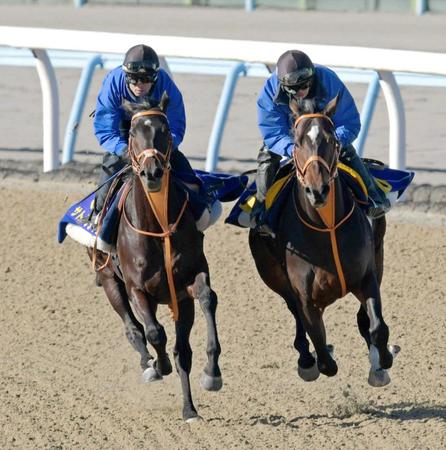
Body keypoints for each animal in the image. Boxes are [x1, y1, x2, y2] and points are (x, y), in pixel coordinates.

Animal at [90, 93, 221, 424]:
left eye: (164, 130)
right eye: (133, 133)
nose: (152, 172)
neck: (157, 224)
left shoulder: (189, 280)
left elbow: (207, 298)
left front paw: (212, 372)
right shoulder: (137, 288)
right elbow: (154, 332)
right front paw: (159, 365)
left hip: (179, 301)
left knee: (183, 351)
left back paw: (189, 409)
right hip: (109, 280)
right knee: (134, 328)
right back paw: (149, 364)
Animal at [249, 95, 398, 386]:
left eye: (330, 139)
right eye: (297, 142)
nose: (317, 190)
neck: (325, 227)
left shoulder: (366, 275)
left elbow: (377, 327)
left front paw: (383, 360)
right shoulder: (304, 296)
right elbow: (320, 346)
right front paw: (318, 357)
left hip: (379, 253)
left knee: (364, 320)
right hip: (272, 275)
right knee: (296, 316)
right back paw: (306, 359)